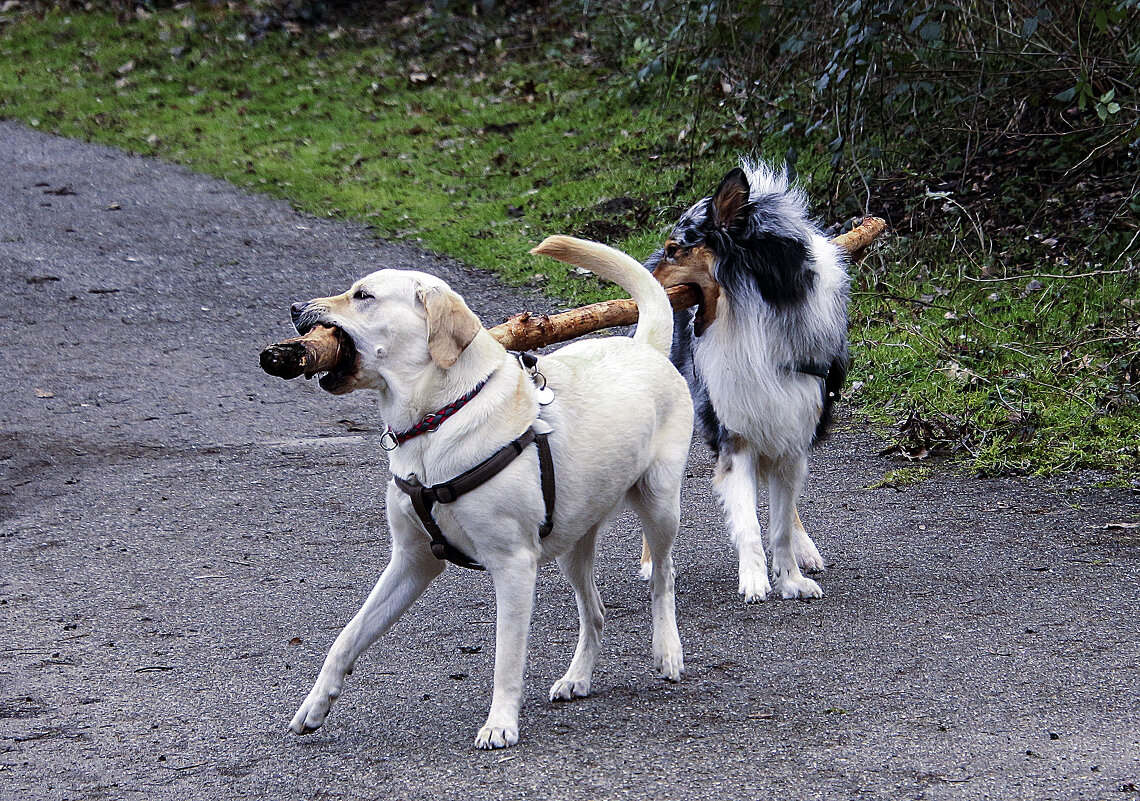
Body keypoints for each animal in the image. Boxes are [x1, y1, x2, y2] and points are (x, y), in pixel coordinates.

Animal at [285, 234, 693, 747]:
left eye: (363, 295)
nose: (295, 307)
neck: (436, 421)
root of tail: (644, 347)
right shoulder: (411, 562)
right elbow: (347, 637)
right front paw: (314, 706)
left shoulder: (513, 565)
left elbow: (507, 657)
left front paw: (500, 723)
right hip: (572, 543)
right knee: (595, 611)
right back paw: (577, 677)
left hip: (659, 504)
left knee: (663, 577)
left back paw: (668, 651)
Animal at [647, 161, 852, 601]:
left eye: (675, 249)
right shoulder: (736, 435)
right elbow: (748, 522)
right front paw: (756, 579)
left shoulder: (792, 432)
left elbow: (780, 524)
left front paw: (790, 578)